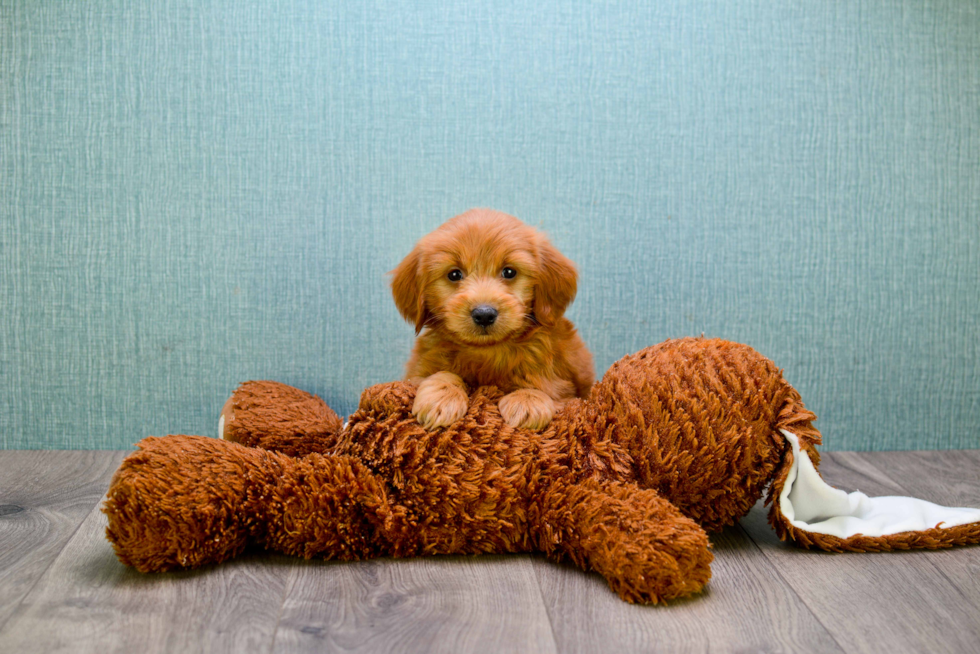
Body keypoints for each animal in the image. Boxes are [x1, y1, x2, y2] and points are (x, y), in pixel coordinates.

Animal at [392, 210, 596, 434]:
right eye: (454, 274)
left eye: (509, 272)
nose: (484, 314)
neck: (487, 352)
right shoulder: (415, 374)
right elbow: (442, 373)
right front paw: (440, 397)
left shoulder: (566, 388)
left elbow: (542, 382)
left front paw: (528, 401)